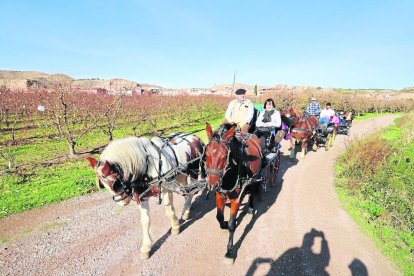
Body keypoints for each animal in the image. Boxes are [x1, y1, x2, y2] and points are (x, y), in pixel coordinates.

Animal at [204, 124, 262, 264]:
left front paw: (230, 251)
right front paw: (223, 224)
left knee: (251, 192)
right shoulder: (219, 195)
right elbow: (219, 217)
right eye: (206, 155)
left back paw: (251, 207)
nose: (211, 185)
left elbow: (232, 224)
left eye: (225, 156)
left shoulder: (236, 199)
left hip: (254, 178)